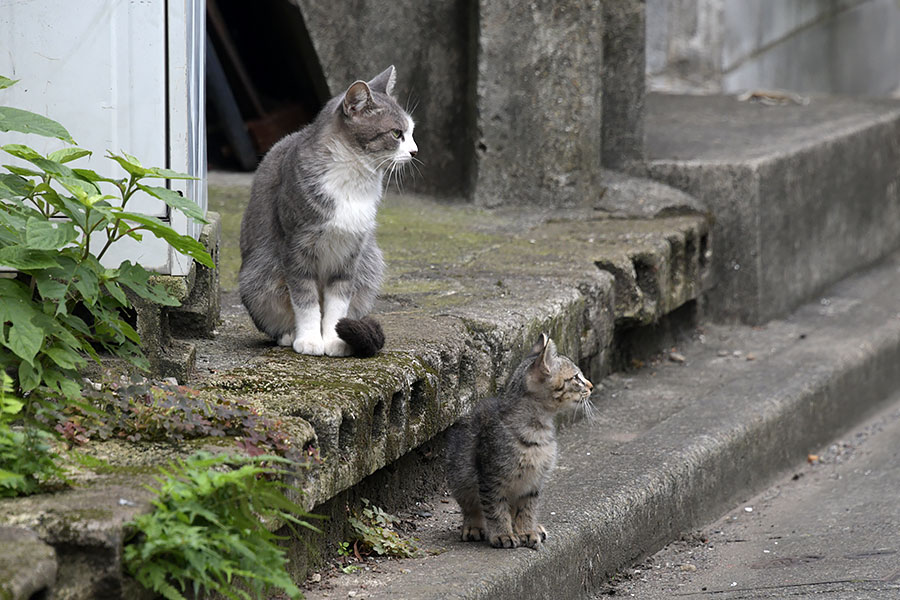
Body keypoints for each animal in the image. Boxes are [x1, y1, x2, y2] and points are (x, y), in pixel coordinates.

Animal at [241, 65, 420, 356]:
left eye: (412, 131)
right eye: (396, 134)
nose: (415, 151)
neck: (352, 180)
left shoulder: (350, 252)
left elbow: (339, 299)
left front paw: (335, 339)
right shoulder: (296, 246)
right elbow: (305, 298)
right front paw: (310, 340)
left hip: (370, 265)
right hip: (259, 275)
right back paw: (290, 334)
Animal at [444, 332, 596, 548]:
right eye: (576, 377)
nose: (591, 386)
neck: (538, 431)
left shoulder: (533, 482)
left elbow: (527, 509)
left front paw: (526, 530)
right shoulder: (491, 478)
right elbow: (495, 509)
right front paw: (502, 534)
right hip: (459, 474)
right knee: (471, 506)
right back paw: (474, 526)